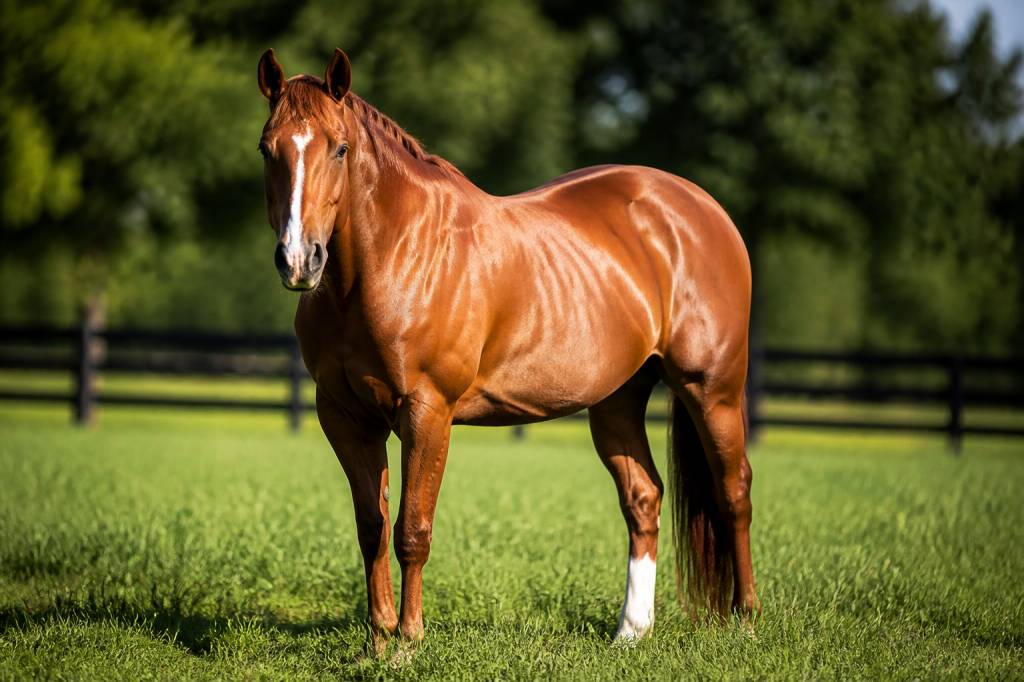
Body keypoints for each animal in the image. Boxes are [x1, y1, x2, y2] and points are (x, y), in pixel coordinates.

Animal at [256, 48, 760, 651]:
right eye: (267, 148)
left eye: (339, 148)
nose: (297, 260)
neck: (393, 258)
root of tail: (703, 210)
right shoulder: (345, 416)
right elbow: (371, 527)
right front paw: (378, 639)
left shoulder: (427, 412)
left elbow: (411, 530)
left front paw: (408, 642)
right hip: (616, 401)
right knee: (643, 497)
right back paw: (631, 632)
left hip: (712, 389)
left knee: (734, 493)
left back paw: (746, 619)